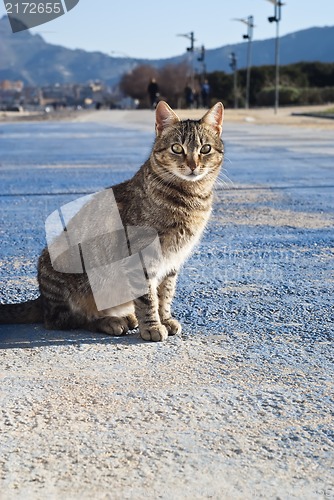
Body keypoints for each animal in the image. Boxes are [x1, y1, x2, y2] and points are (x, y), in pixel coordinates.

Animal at [0, 101, 224, 344]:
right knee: (66, 320)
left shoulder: (173, 261)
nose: (193, 165)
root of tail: (42, 299)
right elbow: (147, 297)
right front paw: (152, 326)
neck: (191, 197)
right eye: (177, 148)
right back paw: (109, 321)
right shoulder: (142, 256)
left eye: (205, 149)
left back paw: (126, 317)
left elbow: (164, 294)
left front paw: (164, 319)